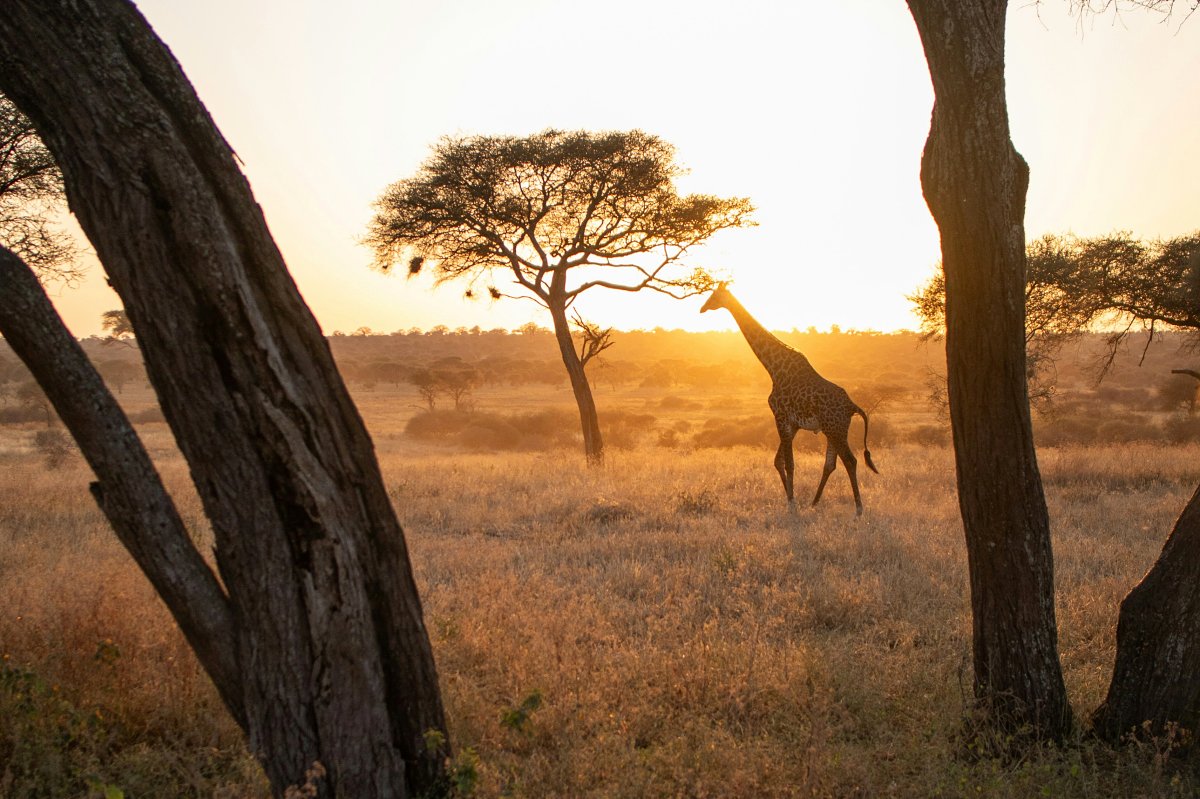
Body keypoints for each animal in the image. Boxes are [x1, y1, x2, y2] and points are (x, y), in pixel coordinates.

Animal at [701, 282, 878, 515]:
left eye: (713, 296)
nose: (702, 309)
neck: (774, 368)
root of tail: (852, 406)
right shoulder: (792, 424)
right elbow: (778, 461)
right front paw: (791, 500)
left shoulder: (781, 417)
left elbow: (789, 463)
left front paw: (792, 504)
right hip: (832, 430)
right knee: (831, 464)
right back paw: (814, 503)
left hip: (835, 429)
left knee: (850, 461)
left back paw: (858, 509)